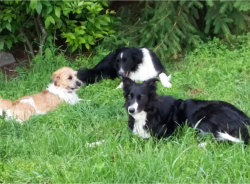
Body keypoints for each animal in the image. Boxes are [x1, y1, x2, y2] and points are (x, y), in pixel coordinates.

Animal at [122, 77, 250, 144]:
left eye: (142, 97)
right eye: (129, 96)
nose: (131, 110)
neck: (148, 112)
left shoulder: (168, 134)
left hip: (201, 116)